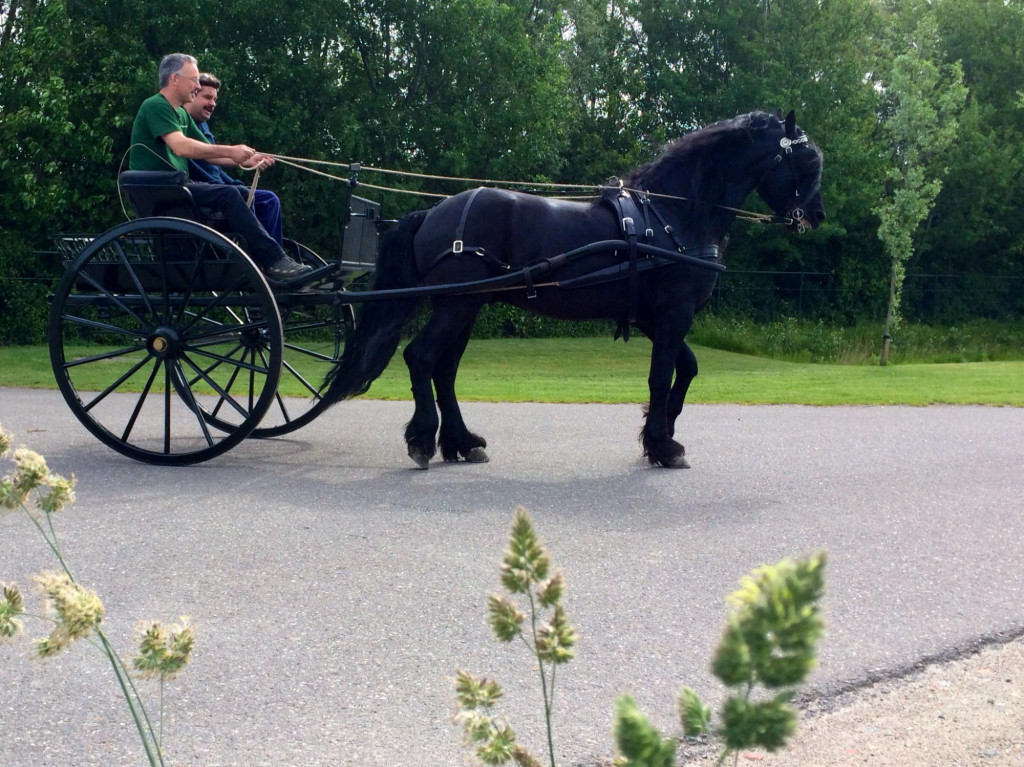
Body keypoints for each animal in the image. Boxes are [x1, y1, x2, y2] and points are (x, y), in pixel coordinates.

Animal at [325, 107, 823, 466]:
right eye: (808, 162)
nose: (815, 217)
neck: (673, 214)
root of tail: (434, 211)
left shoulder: (654, 318)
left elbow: (688, 369)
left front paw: (662, 431)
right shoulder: (672, 314)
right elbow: (662, 376)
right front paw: (663, 445)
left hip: (465, 306)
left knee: (443, 370)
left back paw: (463, 443)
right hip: (456, 307)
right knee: (421, 358)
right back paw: (424, 439)